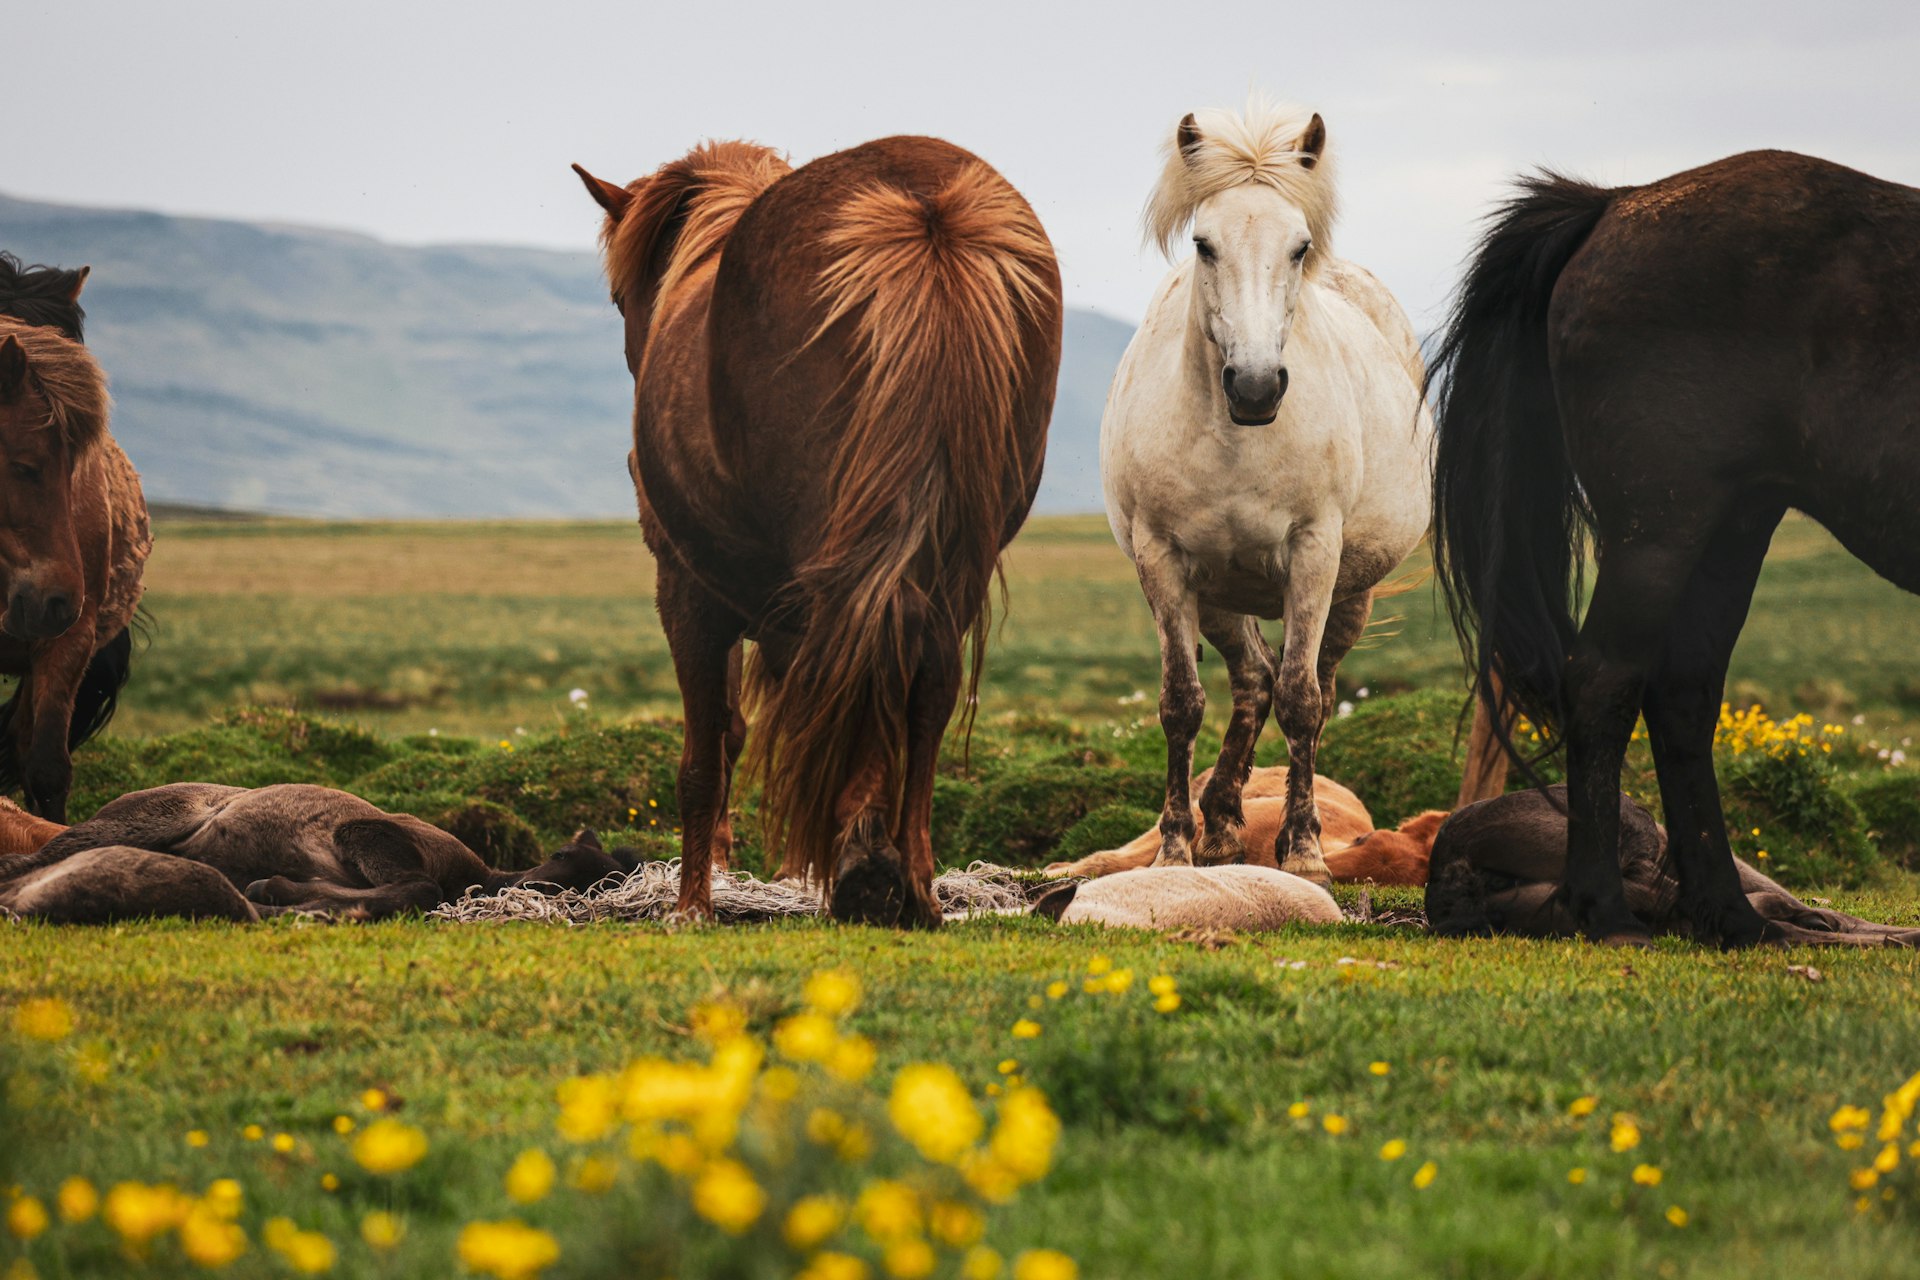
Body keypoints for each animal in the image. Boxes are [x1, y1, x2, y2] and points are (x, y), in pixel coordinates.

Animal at [573, 137, 1062, 926]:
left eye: (622, 297)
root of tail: (922, 204)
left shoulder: (687, 591)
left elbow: (706, 751)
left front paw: (694, 904)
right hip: (956, 564)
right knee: (925, 692)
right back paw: (913, 885)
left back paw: (863, 868)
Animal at [1101, 97, 1433, 887]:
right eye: (1204, 244)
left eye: (1298, 247)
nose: (1255, 386)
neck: (1234, 439)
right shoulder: (1165, 563)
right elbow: (1181, 703)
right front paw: (1175, 847)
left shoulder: (1313, 555)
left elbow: (1303, 700)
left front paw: (1305, 850)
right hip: (1221, 592)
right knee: (1251, 681)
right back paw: (1221, 820)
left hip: (1349, 592)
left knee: (1312, 685)